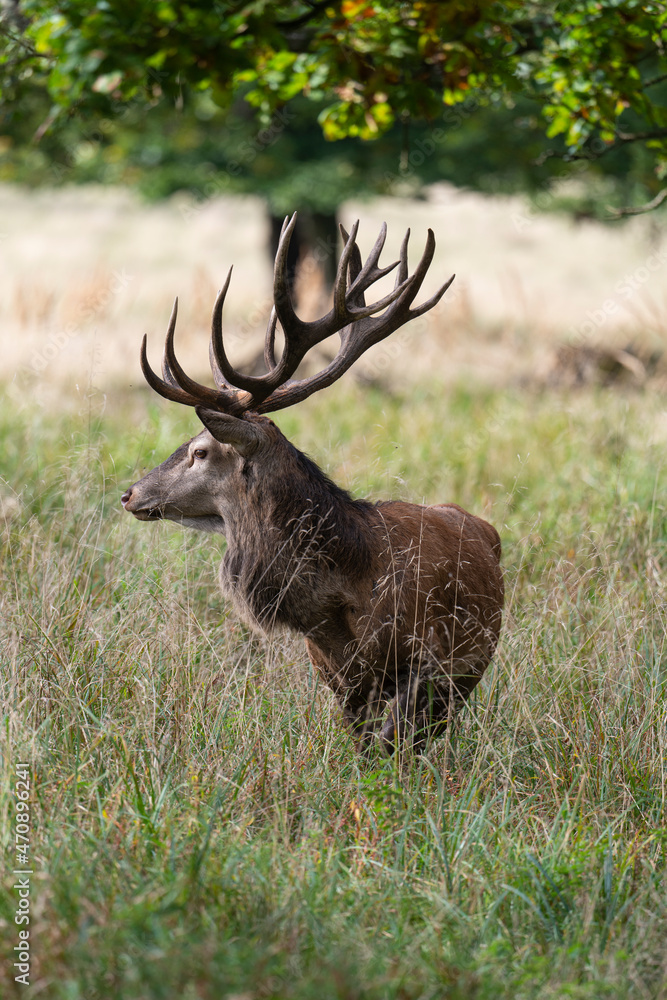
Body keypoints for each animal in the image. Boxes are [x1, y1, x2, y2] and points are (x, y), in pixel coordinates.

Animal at [121, 214, 504, 753]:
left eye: (200, 450)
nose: (131, 493)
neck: (344, 596)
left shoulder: (427, 660)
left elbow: (392, 747)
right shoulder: (332, 671)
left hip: (471, 663)